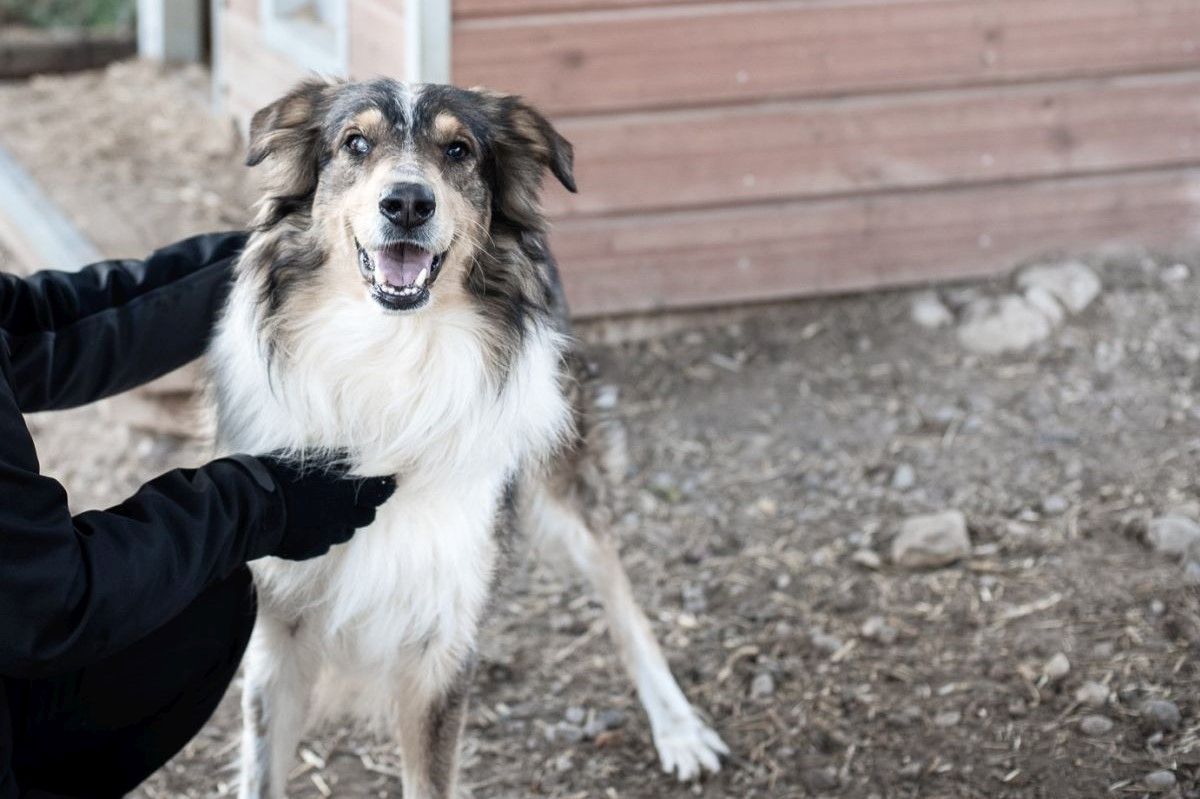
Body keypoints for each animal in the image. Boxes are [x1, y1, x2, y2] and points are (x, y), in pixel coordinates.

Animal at [210, 79, 724, 796]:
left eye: (459, 151)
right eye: (355, 143)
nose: (406, 203)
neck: (388, 357)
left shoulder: (440, 643)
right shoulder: (277, 636)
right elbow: (262, 772)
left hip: (562, 464)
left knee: (616, 585)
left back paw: (677, 726)